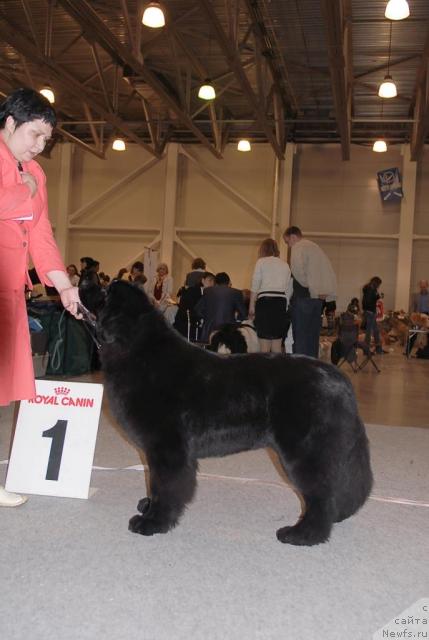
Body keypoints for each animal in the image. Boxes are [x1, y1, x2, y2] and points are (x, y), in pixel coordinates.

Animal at [79, 280, 372, 544]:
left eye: (105, 291)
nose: (82, 282)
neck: (137, 349)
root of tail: (338, 377)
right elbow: (155, 482)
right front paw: (148, 506)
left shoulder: (167, 447)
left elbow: (165, 485)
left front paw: (153, 522)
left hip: (304, 450)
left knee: (320, 493)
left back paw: (303, 534)